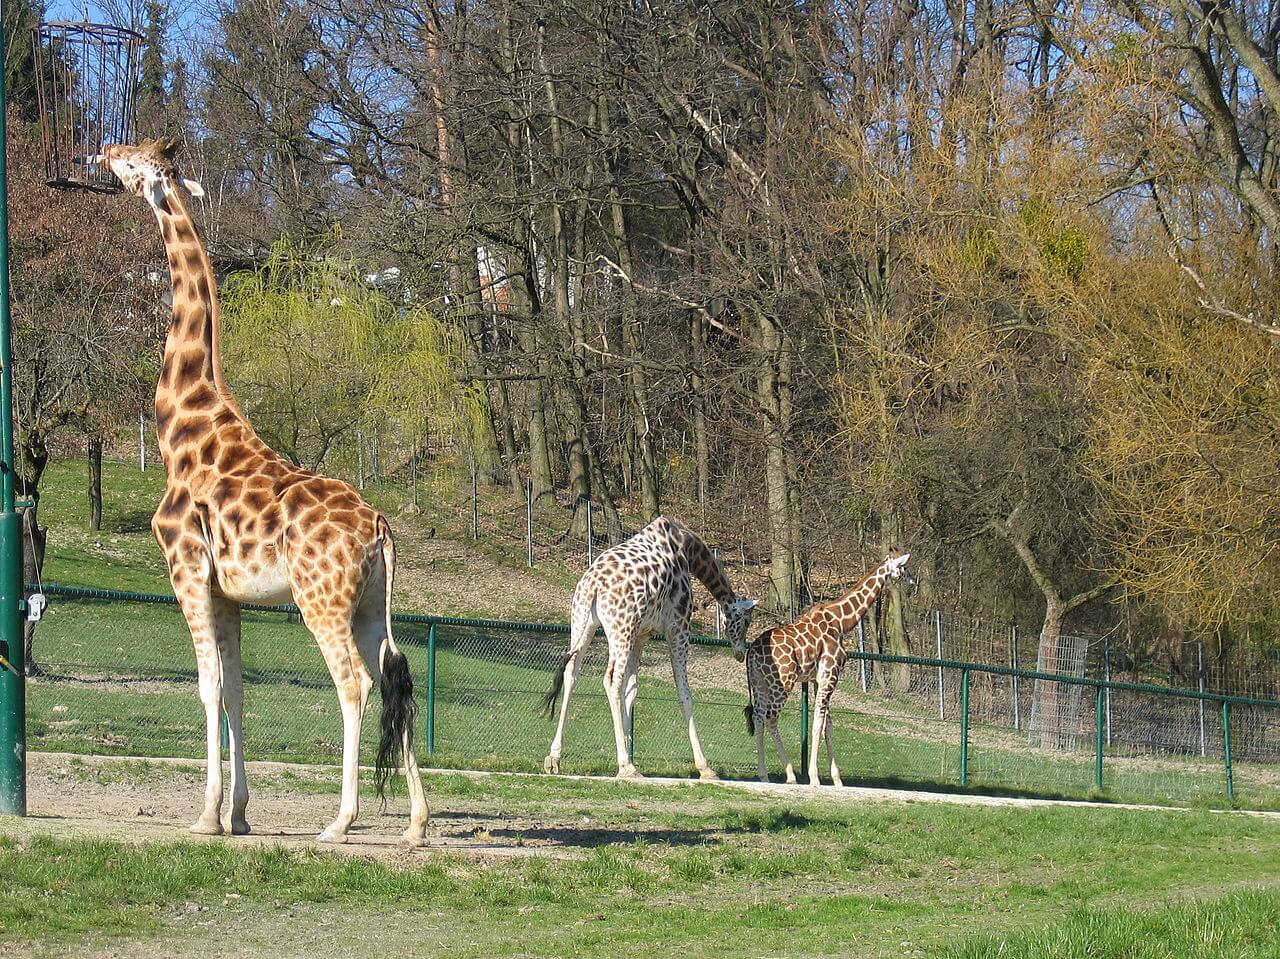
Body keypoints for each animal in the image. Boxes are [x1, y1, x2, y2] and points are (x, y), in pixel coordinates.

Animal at [92, 142, 430, 845]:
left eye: (136, 162)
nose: (104, 152)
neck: (182, 427)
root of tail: (380, 528)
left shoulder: (187, 572)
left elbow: (207, 688)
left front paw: (205, 817)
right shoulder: (229, 592)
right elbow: (238, 689)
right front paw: (239, 814)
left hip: (320, 601)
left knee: (355, 685)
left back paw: (340, 822)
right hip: (370, 606)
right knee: (395, 678)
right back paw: (416, 824)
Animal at [542, 517, 757, 778]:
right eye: (747, 621)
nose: (740, 653)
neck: (689, 549)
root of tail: (593, 585)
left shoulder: (642, 635)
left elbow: (632, 690)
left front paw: (626, 747)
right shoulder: (678, 627)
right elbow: (684, 695)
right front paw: (705, 768)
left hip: (583, 621)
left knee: (572, 672)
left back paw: (554, 758)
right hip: (620, 630)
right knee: (610, 680)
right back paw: (627, 767)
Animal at [747, 545, 916, 783]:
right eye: (904, 566)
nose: (912, 581)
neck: (841, 621)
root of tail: (751, 652)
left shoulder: (818, 679)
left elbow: (828, 725)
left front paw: (837, 780)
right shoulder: (830, 674)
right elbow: (818, 724)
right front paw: (814, 777)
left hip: (760, 683)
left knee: (758, 716)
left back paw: (765, 775)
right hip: (782, 683)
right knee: (771, 718)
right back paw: (790, 775)